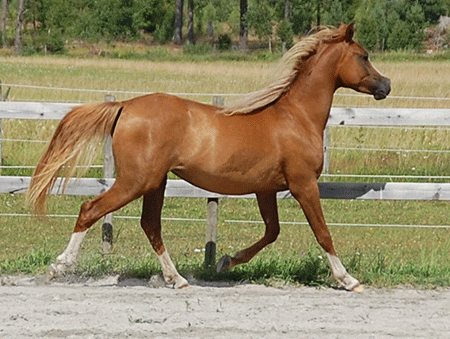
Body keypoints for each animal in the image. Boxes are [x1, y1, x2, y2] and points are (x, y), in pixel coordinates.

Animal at [25, 23, 390, 292]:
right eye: (363, 56)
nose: (385, 85)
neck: (296, 117)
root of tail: (125, 106)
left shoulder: (266, 189)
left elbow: (271, 231)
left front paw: (226, 261)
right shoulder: (303, 184)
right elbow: (322, 232)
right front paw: (348, 280)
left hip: (155, 182)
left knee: (150, 225)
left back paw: (176, 279)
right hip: (135, 180)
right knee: (91, 209)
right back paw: (61, 266)